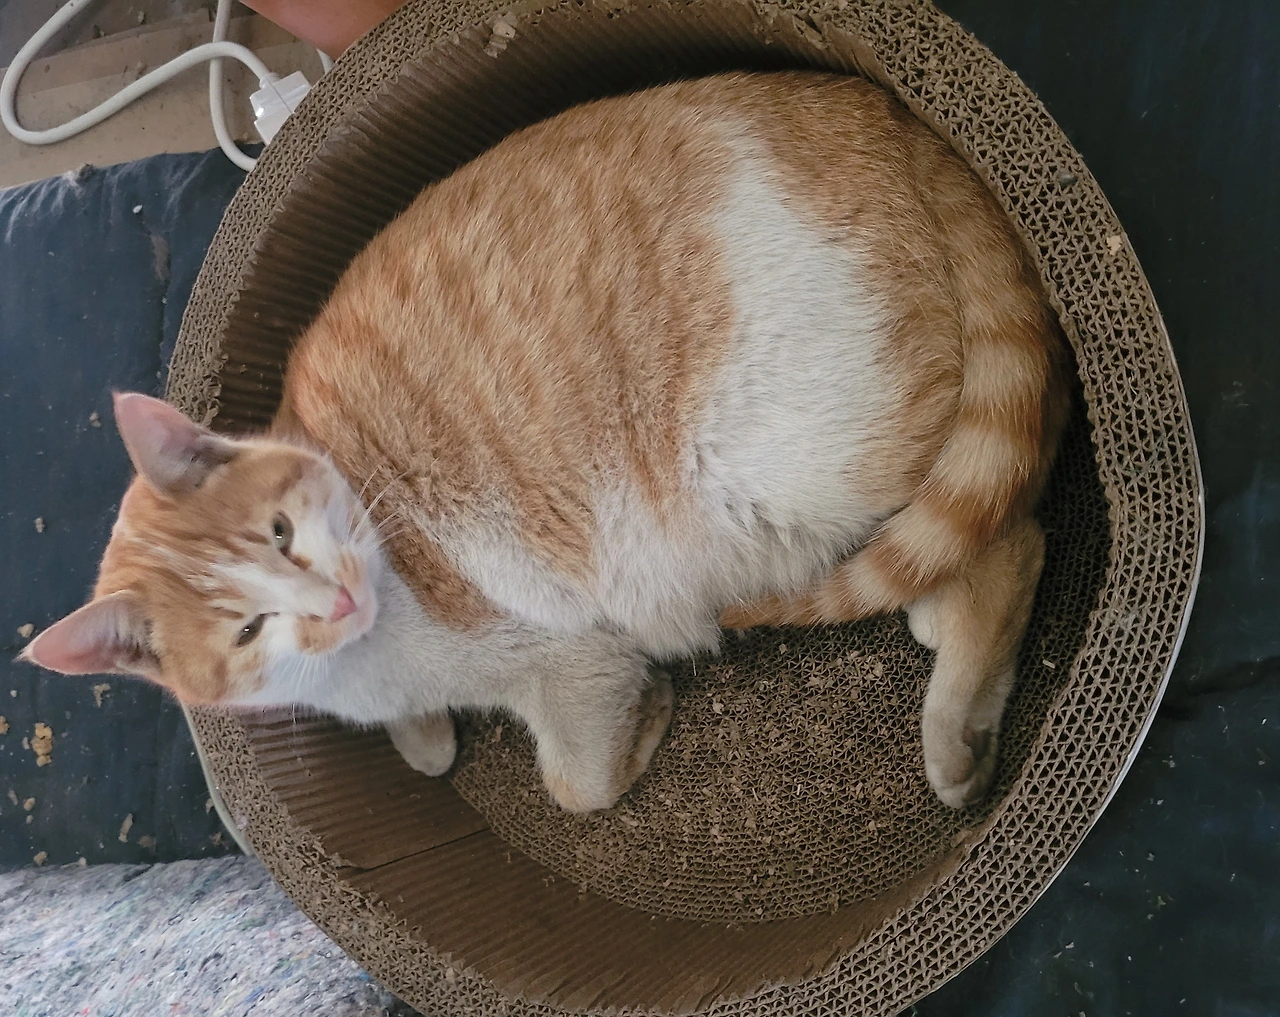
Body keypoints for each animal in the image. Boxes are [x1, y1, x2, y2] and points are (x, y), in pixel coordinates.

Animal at [23, 71, 1068, 812]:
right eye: (245, 629)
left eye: (281, 532)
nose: (336, 599)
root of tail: (880, 107)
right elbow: (430, 753)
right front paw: (427, 740)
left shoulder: (568, 661)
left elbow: (577, 786)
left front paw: (645, 725)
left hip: (786, 474)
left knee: (1014, 536)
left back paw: (959, 740)